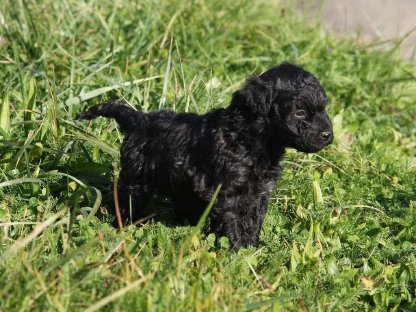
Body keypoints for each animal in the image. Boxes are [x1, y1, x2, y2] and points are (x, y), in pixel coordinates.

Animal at [77, 62, 332, 250]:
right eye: (300, 112)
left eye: (323, 108)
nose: (328, 135)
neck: (251, 138)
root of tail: (138, 119)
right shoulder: (228, 193)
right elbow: (234, 222)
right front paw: (238, 251)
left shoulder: (259, 193)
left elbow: (253, 220)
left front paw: (253, 248)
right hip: (136, 180)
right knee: (125, 203)